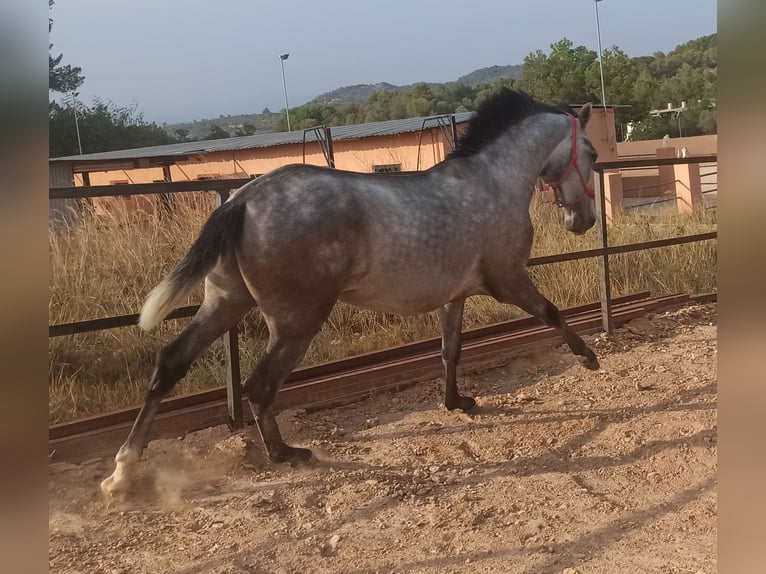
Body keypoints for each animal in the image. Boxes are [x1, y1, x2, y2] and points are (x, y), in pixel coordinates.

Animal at [102, 89, 604, 496]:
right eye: (593, 151)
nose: (584, 222)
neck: (494, 181)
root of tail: (242, 200)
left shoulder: (455, 294)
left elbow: (451, 350)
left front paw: (458, 402)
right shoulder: (509, 279)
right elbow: (552, 313)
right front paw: (589, 357)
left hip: (225, 302)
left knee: (171, 364)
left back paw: (122, 474)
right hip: (296, 320)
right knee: (258, 385)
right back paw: (287, 454)